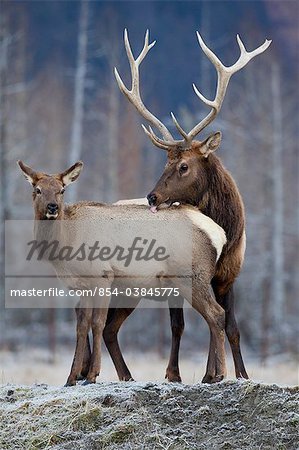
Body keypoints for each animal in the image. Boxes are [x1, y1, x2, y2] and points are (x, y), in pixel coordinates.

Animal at [18, 158, 229, 384]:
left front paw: (92, 374)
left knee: (216, 313)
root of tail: (219, 234)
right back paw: (208, 375)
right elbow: (82, 325)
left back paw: (219, 374)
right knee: (210, 317)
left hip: (189, 277)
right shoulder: (83, 286)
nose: (53, 207)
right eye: (38, 189)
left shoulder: (102, 276)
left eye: (62, 190)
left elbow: (97, 323)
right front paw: (71, 378)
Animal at [110, 29, 272, 382]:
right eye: (165, 162)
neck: (227, 231)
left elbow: (233, 327)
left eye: (184, 166)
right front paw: (178, 374)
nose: (152, 197)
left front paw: (240, 374)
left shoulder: (229, 274)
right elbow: (180, 325)